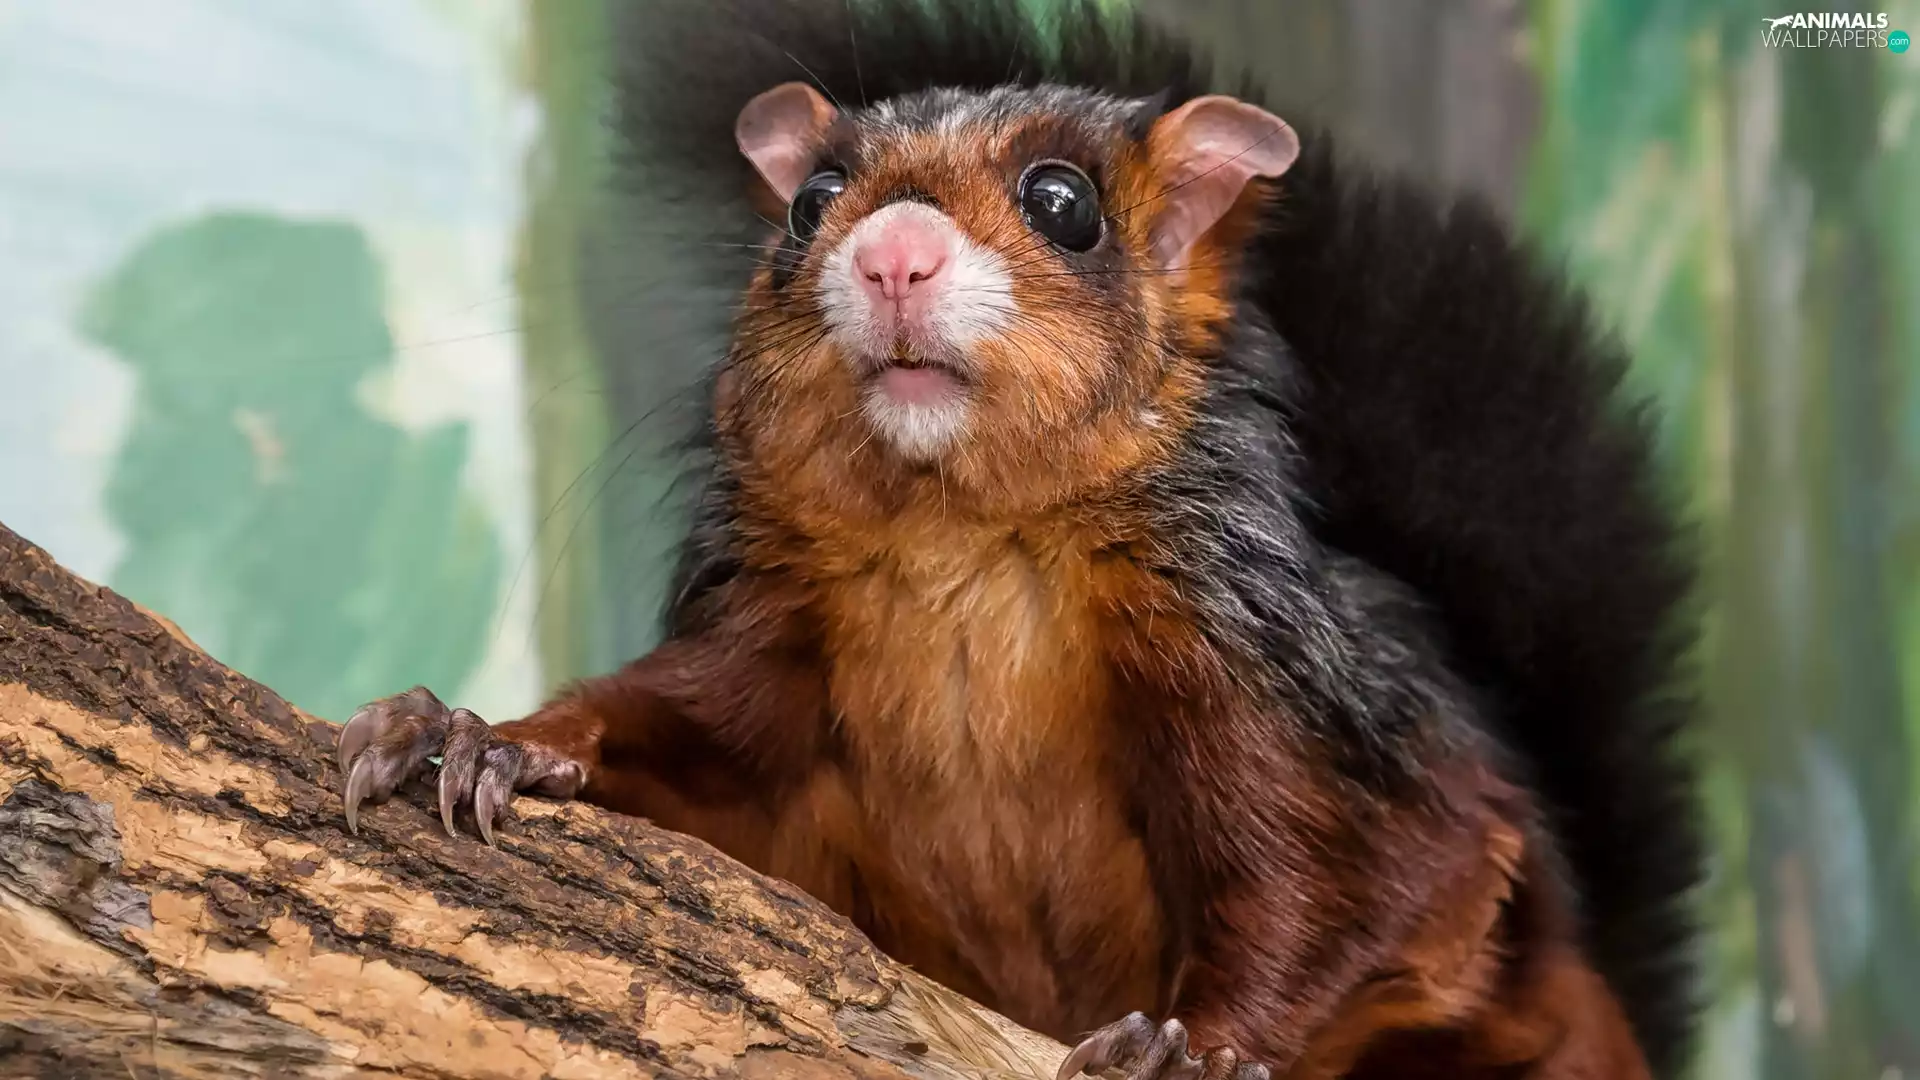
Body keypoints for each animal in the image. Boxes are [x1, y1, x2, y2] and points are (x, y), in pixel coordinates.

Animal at [334, 0, 1705, 1076]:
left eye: (1065, 204)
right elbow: (676, 741)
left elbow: (1329, 881)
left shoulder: (1267, 678)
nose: (891, 256)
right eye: (811, 204)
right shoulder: (770, 650)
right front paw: (482, 736)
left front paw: (1197, 1045)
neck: (961, 539)